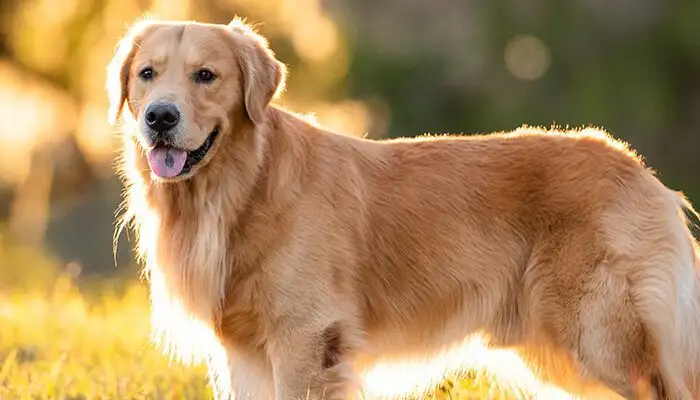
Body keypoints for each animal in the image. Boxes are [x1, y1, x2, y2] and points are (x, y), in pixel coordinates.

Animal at [106, 17, 700, 398]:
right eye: (147, 74)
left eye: (206, 75)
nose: (160, 117)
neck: (241, 189)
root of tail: (640, 171)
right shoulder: (245, 352)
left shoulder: (305, 340)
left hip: (602, 339)